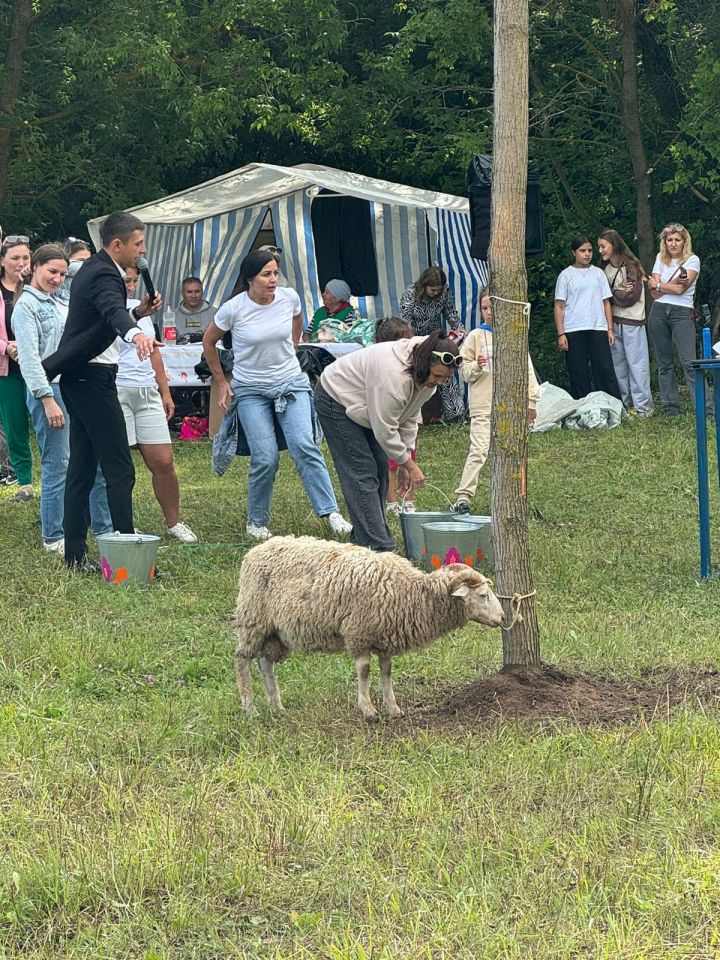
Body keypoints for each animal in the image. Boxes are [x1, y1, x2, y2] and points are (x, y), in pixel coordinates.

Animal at [233, 532, 504, 720]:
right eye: (483, 595)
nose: (503, 618)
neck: (412, 594)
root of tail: (256, 550)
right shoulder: (358, 634)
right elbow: (363, 671)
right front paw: (368, 709)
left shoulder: (384, 639)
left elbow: (387, 672)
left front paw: (393, 708)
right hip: (253, 619)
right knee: (242, 660)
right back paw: (250, 707)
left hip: (275, 632)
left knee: (265, 663)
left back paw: (276, 706)